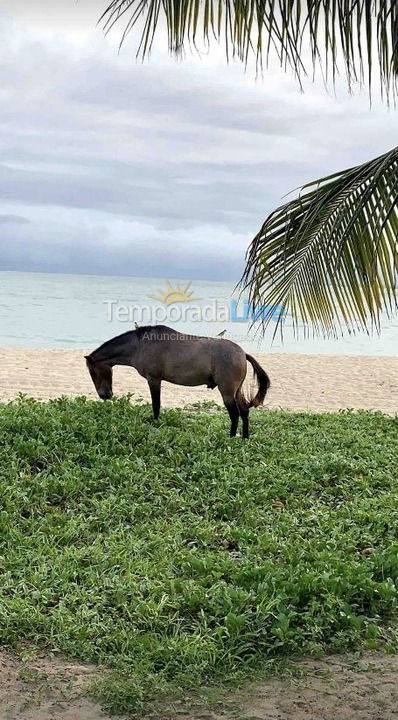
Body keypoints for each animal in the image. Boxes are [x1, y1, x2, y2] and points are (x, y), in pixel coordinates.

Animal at [84, 326, 270, 438]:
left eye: (92, 372)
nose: (104, 395)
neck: (140, 345)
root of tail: (242, 353)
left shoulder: (154, 380)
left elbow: (156, 405)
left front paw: (155, 423)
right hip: (236, 391)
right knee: (244, 411)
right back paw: (244, 437)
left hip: (227, 392)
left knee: (235, 414)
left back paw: (231, 437)